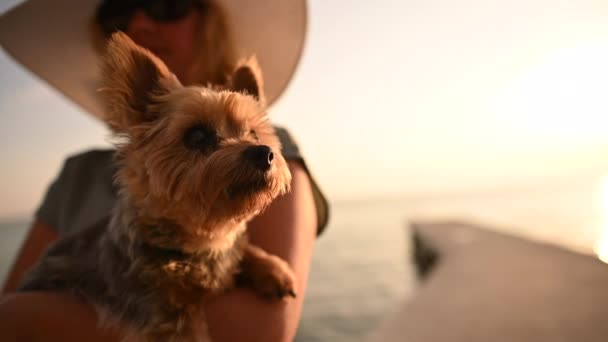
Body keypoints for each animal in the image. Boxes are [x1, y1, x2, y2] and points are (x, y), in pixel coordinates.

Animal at [17, 32, 296, 342]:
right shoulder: (160, 314)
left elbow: (241, 247)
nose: (263, 153)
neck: (195, 242)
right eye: (197, 136)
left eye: (255, 134)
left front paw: (272, 269)